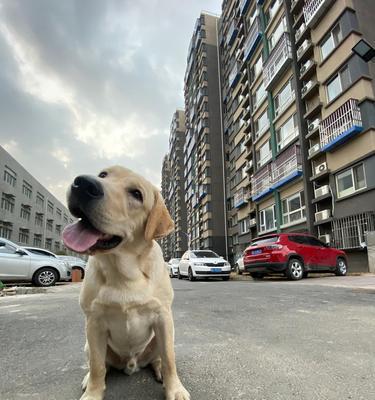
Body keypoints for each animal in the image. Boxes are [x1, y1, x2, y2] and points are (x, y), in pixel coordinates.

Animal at [63, 164, 191, 398]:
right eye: (103, 175)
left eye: (136, 194)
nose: (83, 183)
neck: (124, 272)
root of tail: (131, 365)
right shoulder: (93, 321)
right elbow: (97, 366)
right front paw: (93, 393)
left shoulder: (163, 316)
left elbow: (170, 359)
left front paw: (175, 390)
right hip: (88, 343)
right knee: (99, 364)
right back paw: (89, 379)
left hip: (160, 338)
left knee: (159, 358)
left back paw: (159, 370)